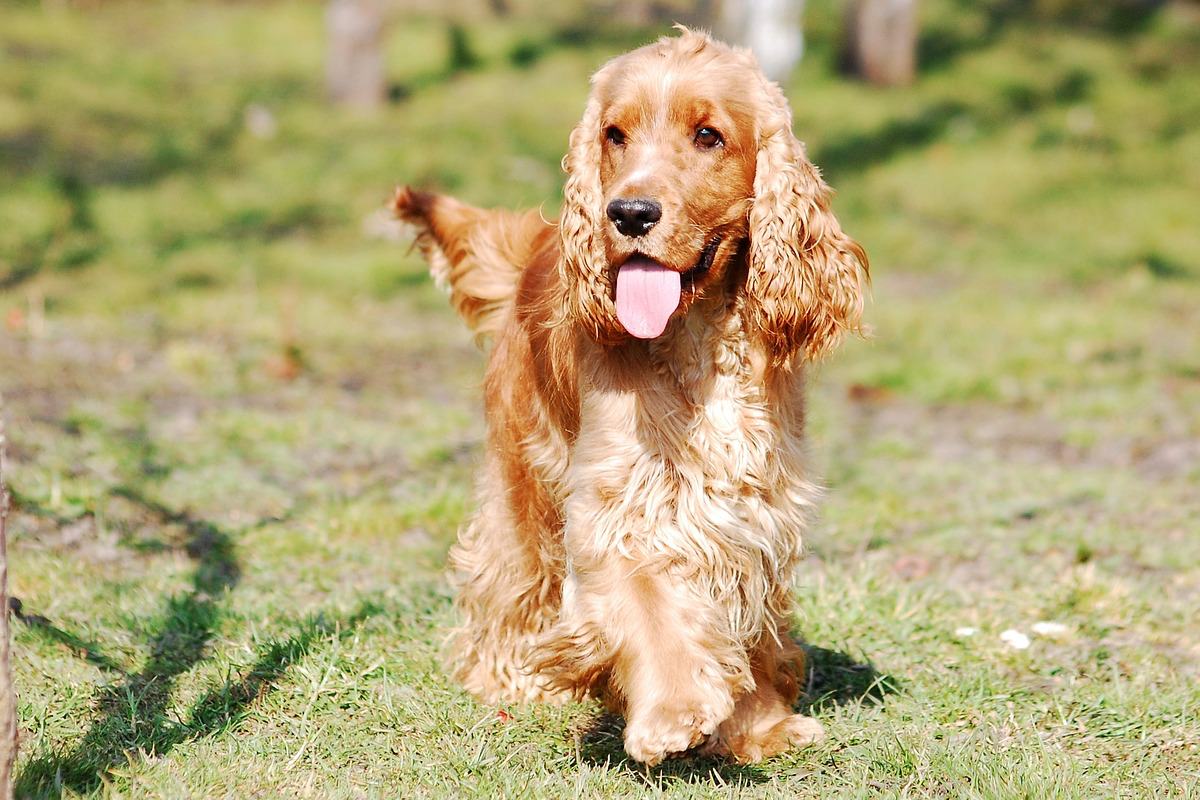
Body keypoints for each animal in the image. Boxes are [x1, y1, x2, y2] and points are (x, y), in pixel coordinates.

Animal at [393, 28, 864, 767]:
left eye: (708, 135)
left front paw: (759, 724)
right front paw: (673, 712)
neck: (700, 339)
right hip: (525, 468)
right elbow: (649, 602)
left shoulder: (755, 506)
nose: (629, 213)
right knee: (508, 571)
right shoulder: (621, 503)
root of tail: (540, 242)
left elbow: (744, 612)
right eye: (614, 134)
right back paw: (511, 677)